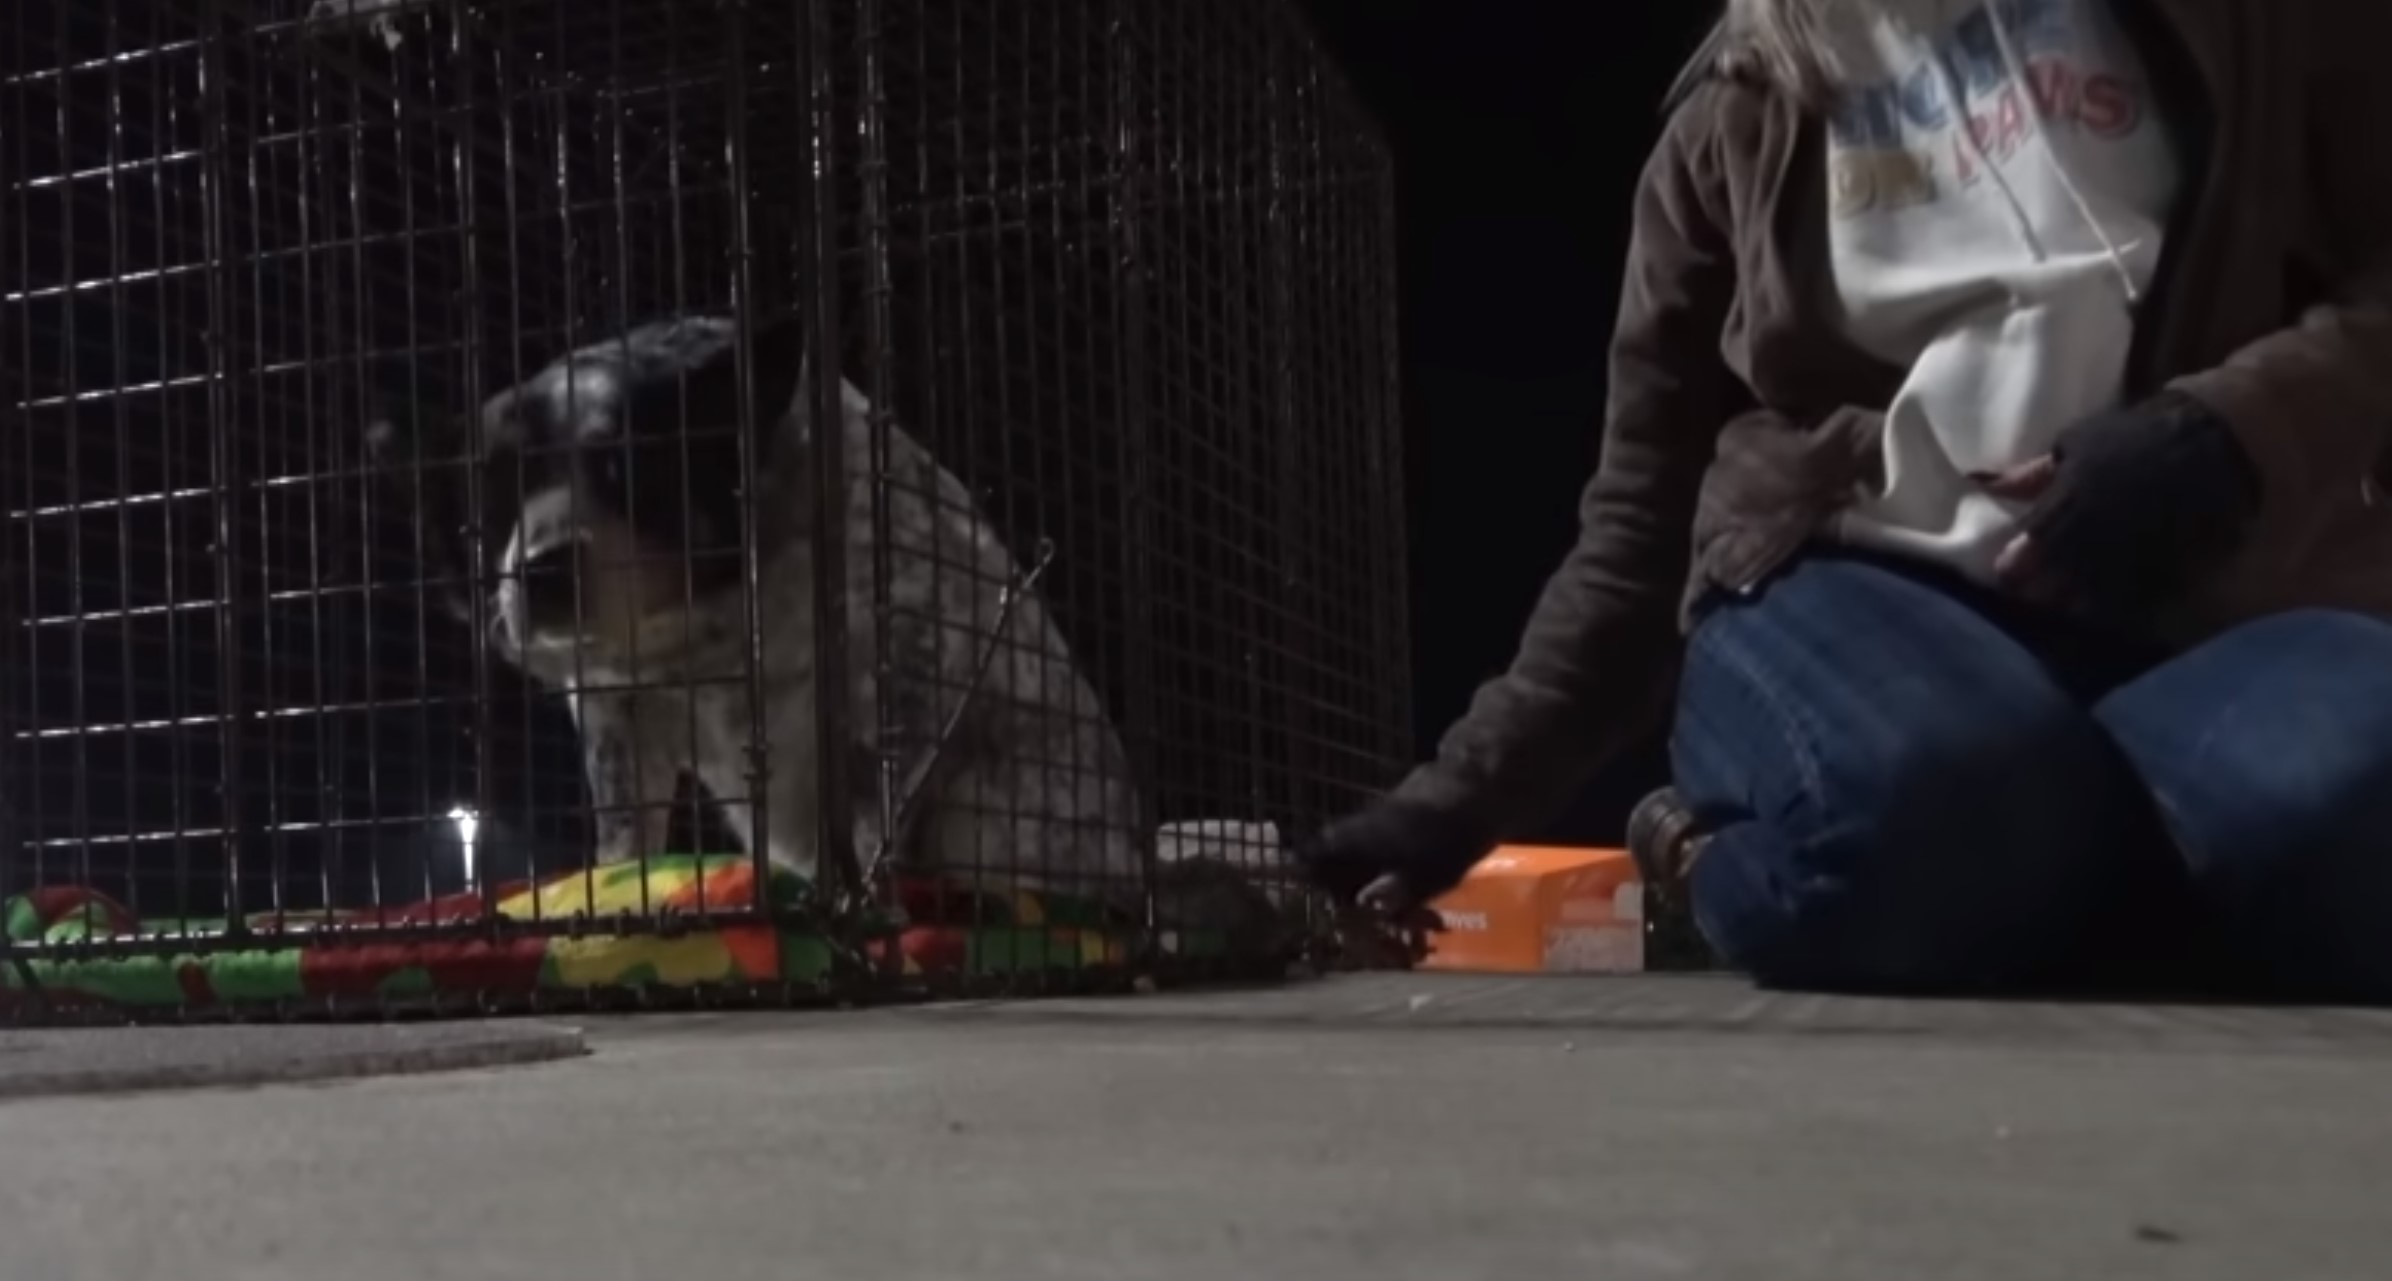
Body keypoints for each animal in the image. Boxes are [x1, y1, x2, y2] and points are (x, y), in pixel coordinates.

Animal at [370, 315, 1148, 903]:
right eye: (486, 510)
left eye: (631, 467)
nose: (543, 568)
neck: (699, 629)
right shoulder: (615, 709)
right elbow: (625, 831)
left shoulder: (902, 667)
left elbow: (879, 812)